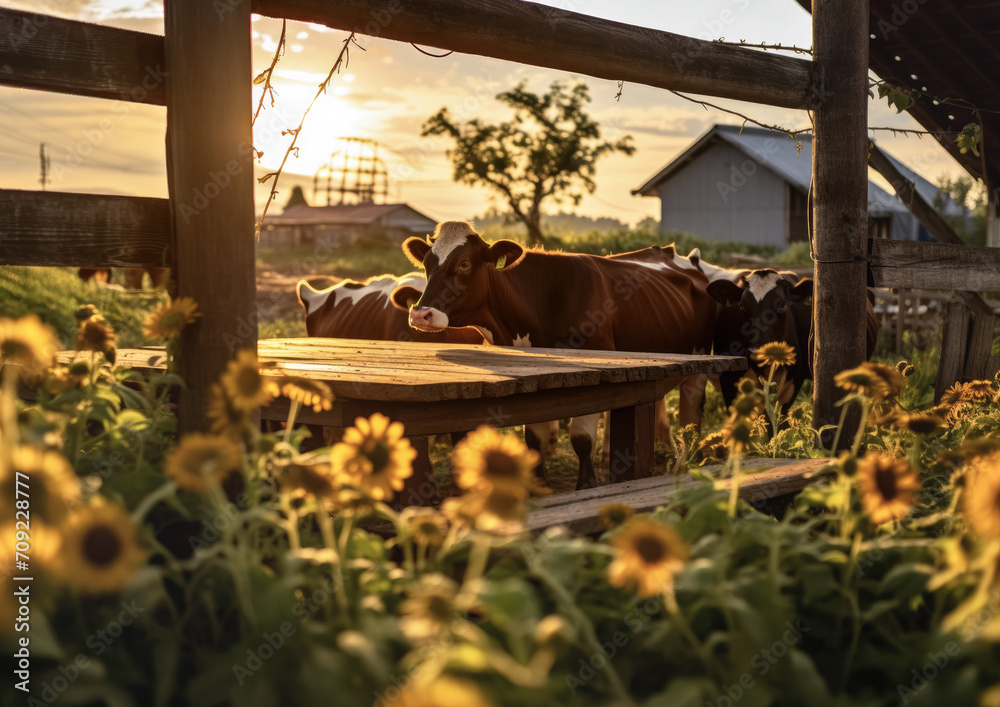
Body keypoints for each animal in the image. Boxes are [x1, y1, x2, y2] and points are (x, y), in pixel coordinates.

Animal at [388, 221, 719, 490]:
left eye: (465, 263)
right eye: (427, 263)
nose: (421, 314)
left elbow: (581, 438)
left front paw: (586, 484)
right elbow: (534, 438)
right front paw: (539, 484)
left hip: (698, 366)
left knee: (691, 419)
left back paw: (686, 463)